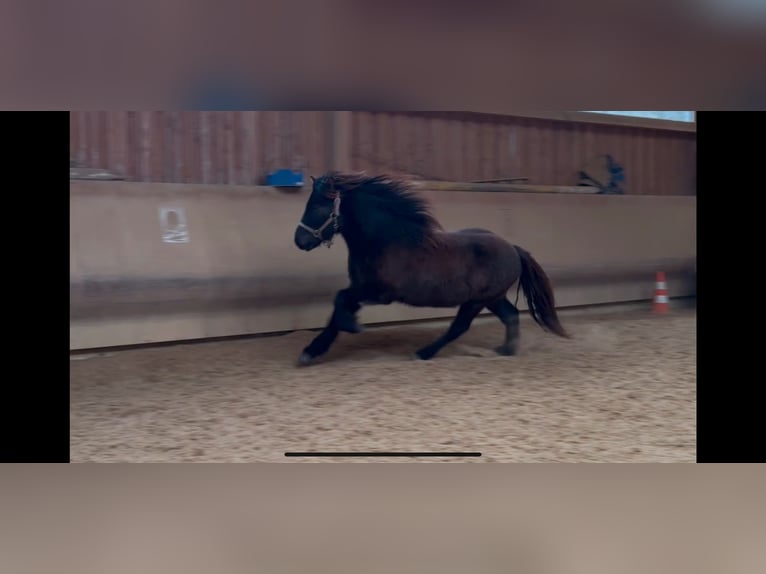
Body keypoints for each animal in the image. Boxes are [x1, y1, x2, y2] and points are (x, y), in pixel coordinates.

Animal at [293, 171, 570, 365]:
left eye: (317, 207)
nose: (299, 240)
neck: (384, 241)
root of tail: (513, 248)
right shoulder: (360, 288)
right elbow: (337, 311)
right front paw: (311, 352)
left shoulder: (379, 293)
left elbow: (340, 301)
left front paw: (352, 327)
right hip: (493, 298)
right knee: (510, 315)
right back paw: (506, 350)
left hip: (477, 301)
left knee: (459, 327)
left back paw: (423, 353)